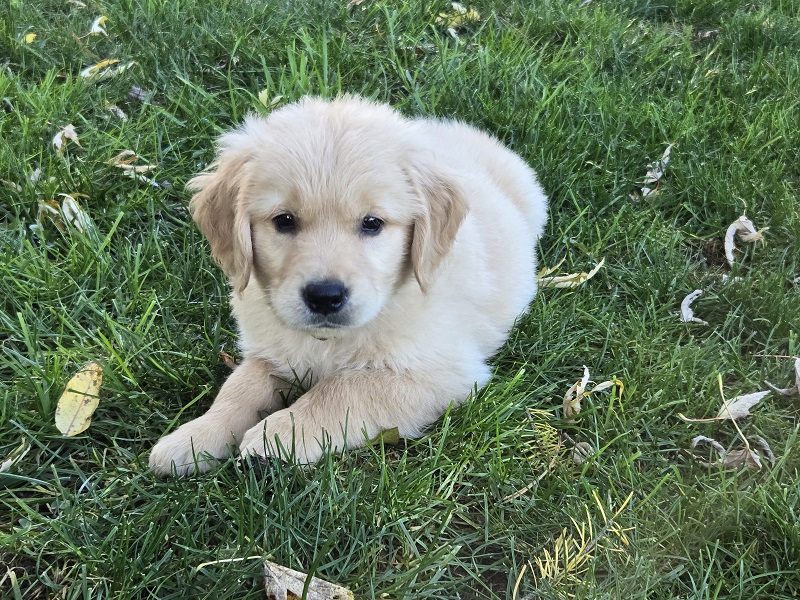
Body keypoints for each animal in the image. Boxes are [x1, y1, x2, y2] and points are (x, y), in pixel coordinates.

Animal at [148, 96, 552, 476]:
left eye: (372, 223)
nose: (325, 297)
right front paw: (195, 436)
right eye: (284, 221)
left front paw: (277, 435)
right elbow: (239, 387)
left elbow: (342, 390)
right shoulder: (271, 351)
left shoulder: (443, 372)